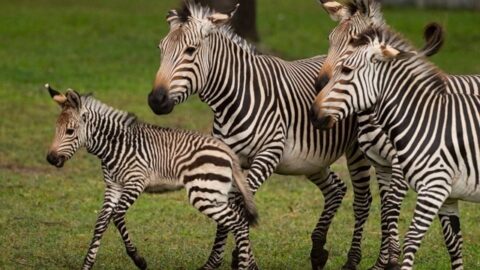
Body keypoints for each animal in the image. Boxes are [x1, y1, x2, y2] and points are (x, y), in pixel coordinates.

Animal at [44, 85, 258, 270]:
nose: (51, 159)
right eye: (55, 128)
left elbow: (117, 216)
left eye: (70, 131)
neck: (115, 145)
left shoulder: (135, 182)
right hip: (216, 192)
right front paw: (87, 264)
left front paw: (138, 259)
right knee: (241, 220)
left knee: (238, 222)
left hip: (204, 193)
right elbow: (101, 223)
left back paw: (244, 265)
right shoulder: (113, 187)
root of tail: (227, 150)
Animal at [146, 1, 372, 268]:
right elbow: (230, 206)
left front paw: (242, 261)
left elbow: (240, 206)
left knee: (362, 201)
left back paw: (353, 259)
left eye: (190, 50)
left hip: (357, 150)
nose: (156, 100)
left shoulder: (268, 154)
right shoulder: (229, 160)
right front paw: (221, 260)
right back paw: (318, 251)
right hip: (310, 159)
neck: (231, 100)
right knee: (336, 189)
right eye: (160, 49)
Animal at [310, 24, 480, 268]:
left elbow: (410, 237)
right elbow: (454, 246)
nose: (313, 114)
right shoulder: (447, 195)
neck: (424, 120)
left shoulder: (432, 188)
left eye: (347, 71)